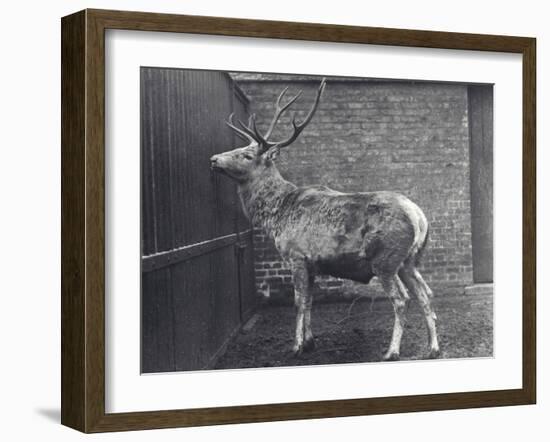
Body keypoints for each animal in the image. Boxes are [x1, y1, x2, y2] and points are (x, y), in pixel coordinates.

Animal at [209, 79, 442, 360]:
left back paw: (392, 351)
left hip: (385, 259)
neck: (277, 215)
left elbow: (298, 302)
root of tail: (419, 217)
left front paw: (297, 346)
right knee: (425, 294)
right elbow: (309, 301)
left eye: (246, 155)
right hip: (410, 260)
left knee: (401, 298)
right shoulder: (312, 264)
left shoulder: (296, 255)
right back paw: (433, 348)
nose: (213, 159)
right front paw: (310, 342)